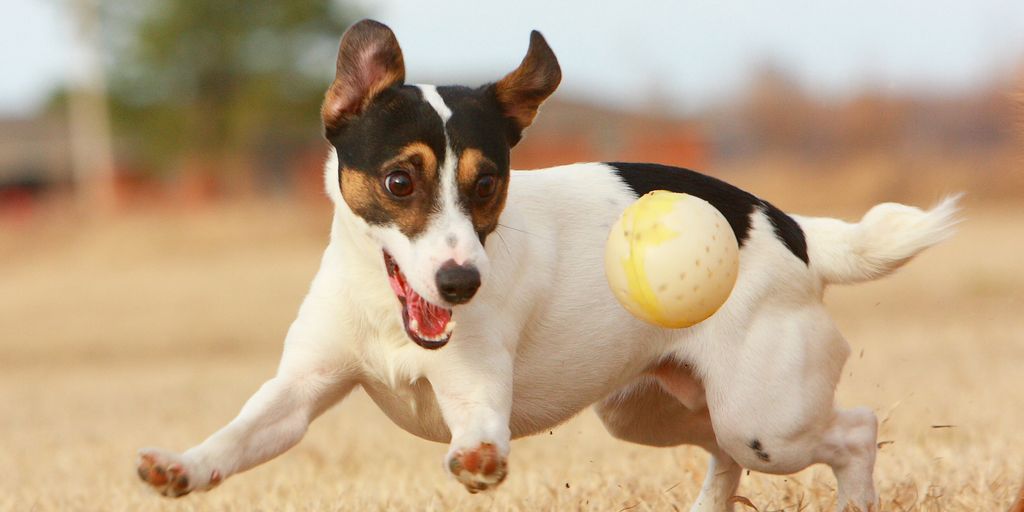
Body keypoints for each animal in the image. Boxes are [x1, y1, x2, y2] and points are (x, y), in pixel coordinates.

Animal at [136, 19, 958, 512]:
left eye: (487, 185)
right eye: (400, 181)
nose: (462, 284)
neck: (385, 309)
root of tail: (796, 231)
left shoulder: (475, 390)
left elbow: (479, 434)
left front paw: (478, 463)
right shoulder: (299, 391)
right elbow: (238, 438)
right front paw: (182, 468)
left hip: (766, 418)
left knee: (853, 430)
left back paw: (855, 499)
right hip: (655, 410)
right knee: (725, 457)